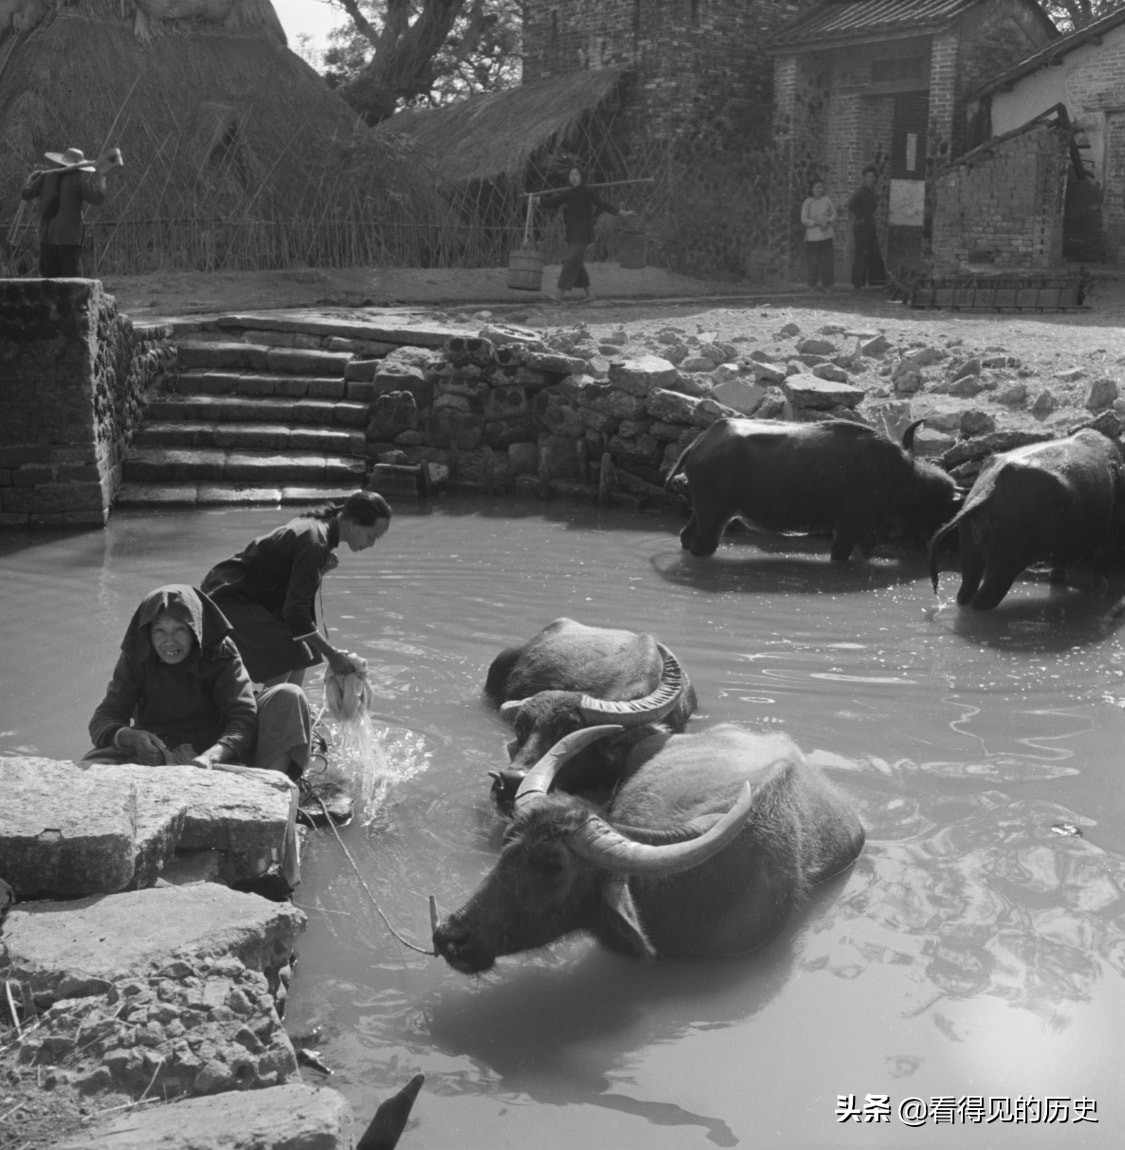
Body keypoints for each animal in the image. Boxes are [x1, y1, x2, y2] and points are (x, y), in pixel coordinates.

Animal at [667, 418, 957, 561]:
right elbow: (839, 556)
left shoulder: (867, 530)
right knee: (702, 546)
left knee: (685, 536)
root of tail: (701, 440)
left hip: (702, 512)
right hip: (714, 517)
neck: (898, 473)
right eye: (942, 506)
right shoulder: (848, 526)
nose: (928, 543)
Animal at [924, 427, 1122, 611]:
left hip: (968, 543)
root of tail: (987, 493)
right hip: (1006, 557)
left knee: (966, 589)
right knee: (985, 597)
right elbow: (1101, 566)